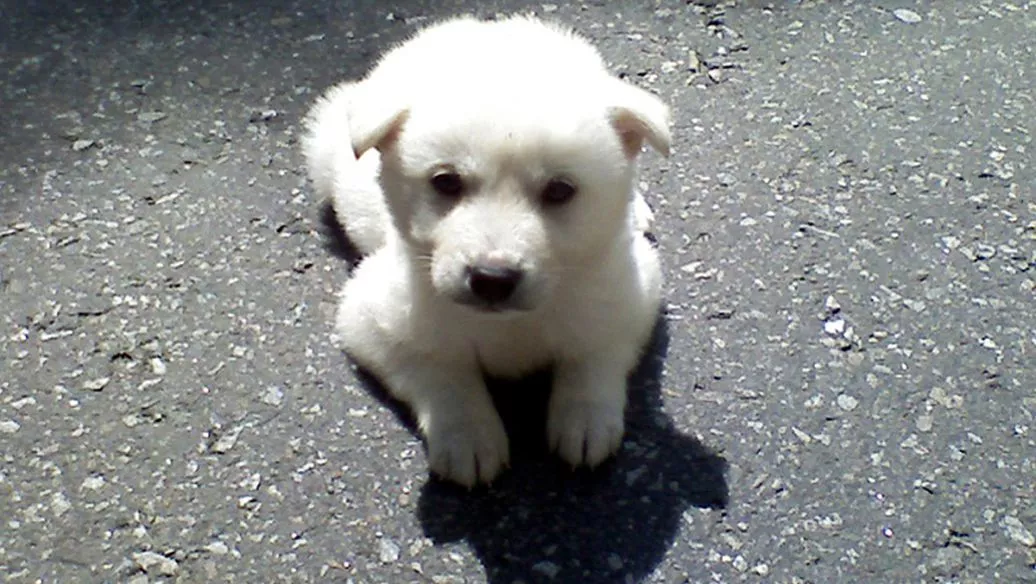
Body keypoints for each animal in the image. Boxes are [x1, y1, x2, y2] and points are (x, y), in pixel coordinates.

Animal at [302, 15, 671, 486]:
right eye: (445, 182)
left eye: (560, 190)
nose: (492, 280)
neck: (508, 325)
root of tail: (482, 25)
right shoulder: (371, 317)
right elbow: (441, 369)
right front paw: (467, 435)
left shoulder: (630, 292)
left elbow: (592, 350)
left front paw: (585, 418)